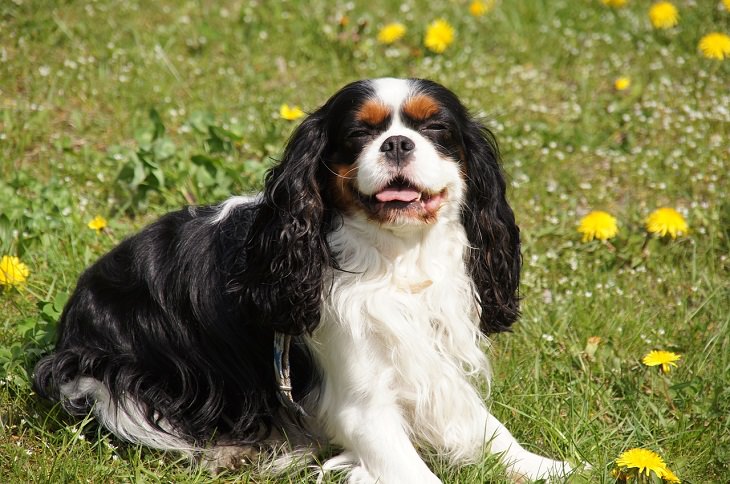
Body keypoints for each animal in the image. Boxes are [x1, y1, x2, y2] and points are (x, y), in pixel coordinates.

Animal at [35, 77, 576, 482]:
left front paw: (550, 466)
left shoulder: (432, 363)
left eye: (436, 128)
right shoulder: (362, 407)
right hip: (112, 378)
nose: (397, 142)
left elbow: (489, 428)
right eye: (359, 134)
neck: (396, 258)